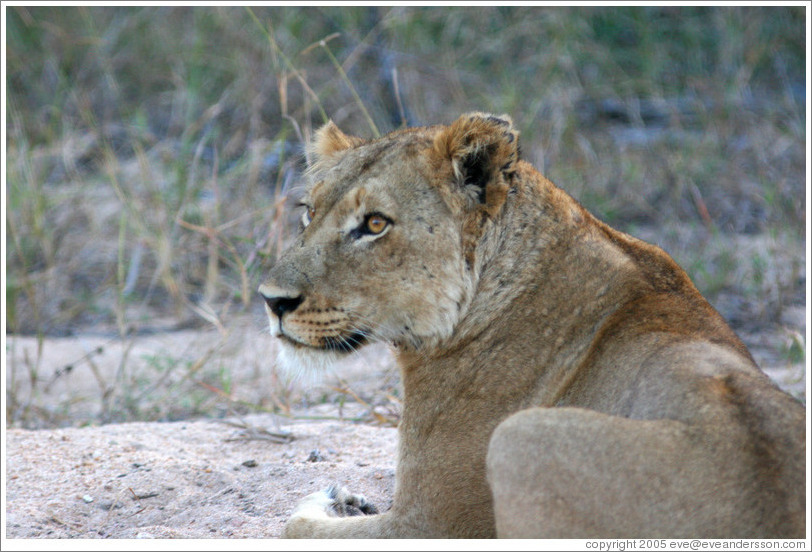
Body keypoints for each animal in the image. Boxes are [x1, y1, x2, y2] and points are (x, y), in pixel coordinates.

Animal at [258, 112, 806, 538]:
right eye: (308, 213)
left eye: (374, 224)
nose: (272, 301)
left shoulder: (429, 525)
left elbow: (295, 526)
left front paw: (333, 502)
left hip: (519, 436)